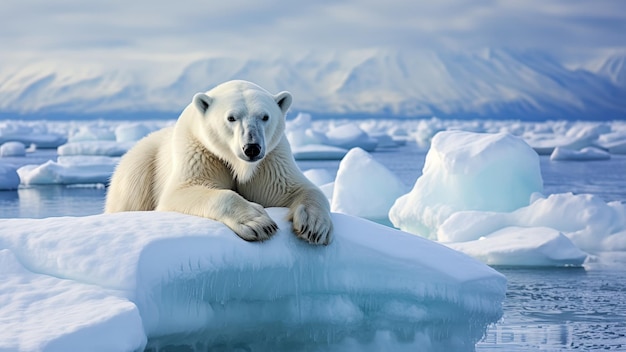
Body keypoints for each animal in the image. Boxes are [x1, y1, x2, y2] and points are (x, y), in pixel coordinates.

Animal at [107, 80, 332, 245]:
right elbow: (181, 191)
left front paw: (314, 226)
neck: (238, 163)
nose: (252, 147)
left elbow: (294, 188)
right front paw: (259, 222)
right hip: (141, 166)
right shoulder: (200, 152)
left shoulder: (271, 159)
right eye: (231, 117)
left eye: (265, 116)